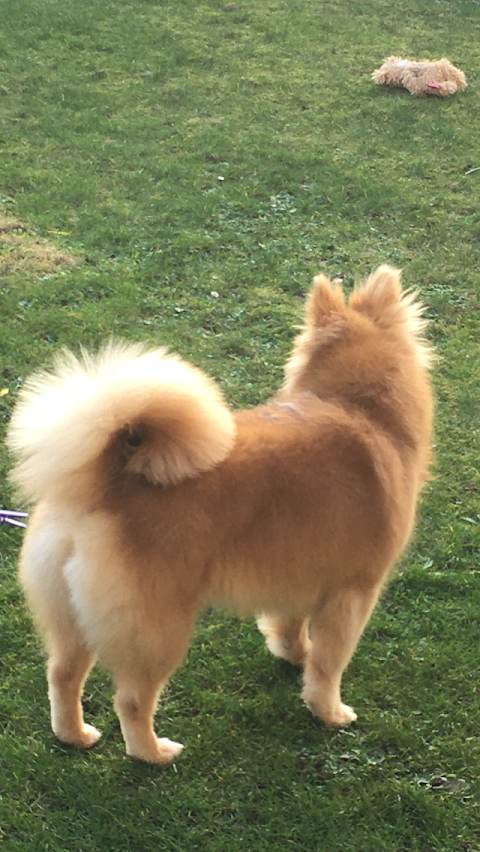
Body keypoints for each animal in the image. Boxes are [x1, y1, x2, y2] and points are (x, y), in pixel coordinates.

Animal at [7, 266, 436, 764]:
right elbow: (329, 665)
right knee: (131, 700)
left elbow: (290, 627)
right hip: (159, 630)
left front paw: (294, 655)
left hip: (69, 617)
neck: (356, 407)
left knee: (62, 675)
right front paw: (329, 712)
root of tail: (106, 479)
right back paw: (154, 752)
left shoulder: (296, 573)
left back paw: (74, 735)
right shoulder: (353, 592)